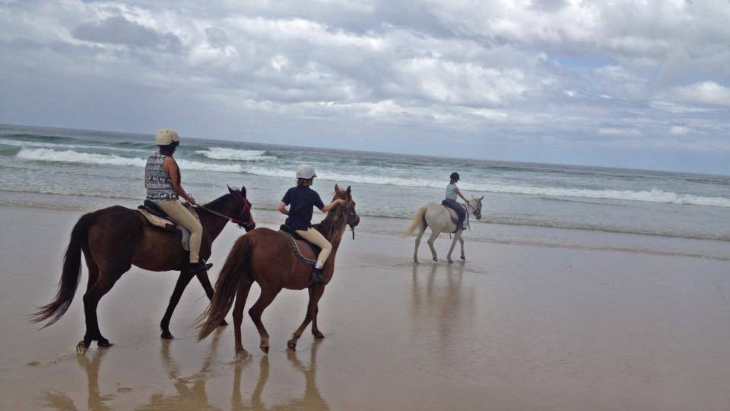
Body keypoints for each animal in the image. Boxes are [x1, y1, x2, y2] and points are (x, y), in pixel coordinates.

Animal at [32, 186, 256, 354]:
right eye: (249, 205)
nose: (252, 225)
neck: (205, 223)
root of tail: (96, 216)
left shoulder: (193, 270)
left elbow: (205, 292)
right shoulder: (193, 269)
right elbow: (183, 296)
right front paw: (169, 328)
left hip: (95, 269)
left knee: (89, 299)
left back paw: (94, 339)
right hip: (113, 272)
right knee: (90, 299)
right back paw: (93, 340)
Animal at [196, 185, 358, 358]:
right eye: (353, 204)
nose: (357, 219)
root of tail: (251, 237)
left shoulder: (313, 286)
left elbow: (315, 310)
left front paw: (316, 332)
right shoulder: (320, 286)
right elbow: (310, 312)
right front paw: (294, 340)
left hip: (245, 282)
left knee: (237, 313)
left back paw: (240, 349)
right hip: (271, 288)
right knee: (254, 311)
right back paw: (264, 341)